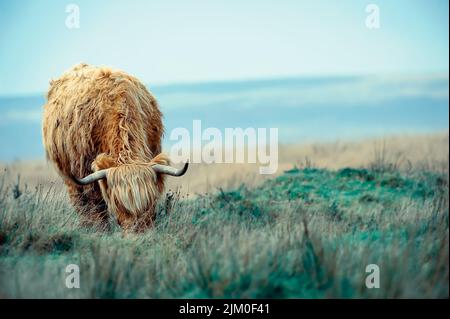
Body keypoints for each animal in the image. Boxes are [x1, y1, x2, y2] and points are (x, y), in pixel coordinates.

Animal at [42, 63, 188, 231]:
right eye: (118, 203)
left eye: (150, 201)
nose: (137, 232)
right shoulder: (86, 172)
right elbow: (96, 205)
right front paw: (100, 229)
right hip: (69, 176)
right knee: (81, 202)